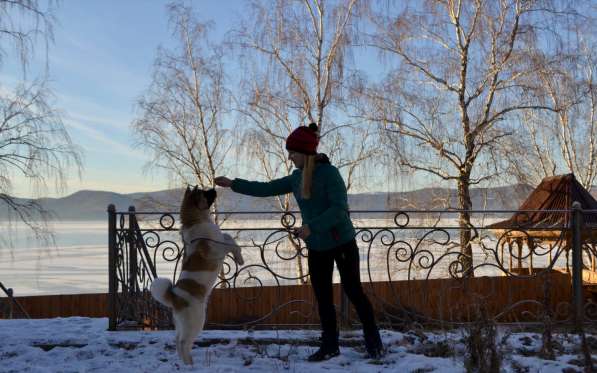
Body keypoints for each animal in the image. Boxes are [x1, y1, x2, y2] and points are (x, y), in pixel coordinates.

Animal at [150, 185, 243, 364]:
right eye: (203, 192)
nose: (214, 187)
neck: (198, 220)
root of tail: (174, 297)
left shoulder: (220, 240)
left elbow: (228, 237)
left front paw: (239, 258)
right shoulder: (215, 250)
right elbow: (230, 243)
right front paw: (239, 256)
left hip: (182, 324)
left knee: (178, 342)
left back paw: (186, 364)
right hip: (196, 321)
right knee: (184, 343)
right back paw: (190, 364)